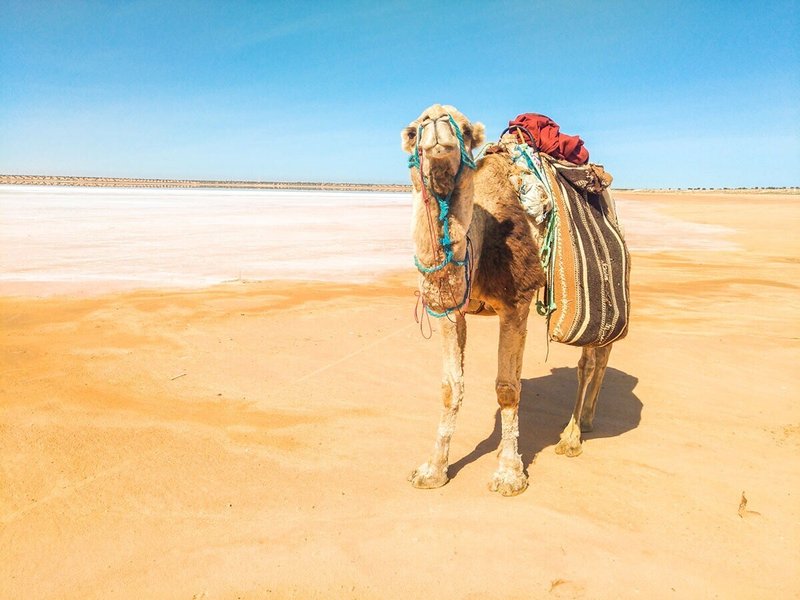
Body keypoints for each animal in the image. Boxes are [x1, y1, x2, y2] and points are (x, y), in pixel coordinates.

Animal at [400, 104, 612, 496]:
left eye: (465, 129)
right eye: (414, 129)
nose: (437, 120)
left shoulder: (516, 303)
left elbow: (507, 388)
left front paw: (510, 474)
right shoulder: (451, 311)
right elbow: (450, 387)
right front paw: (433, 470)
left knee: (594, 355)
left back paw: (574, 435)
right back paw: (586, 422)